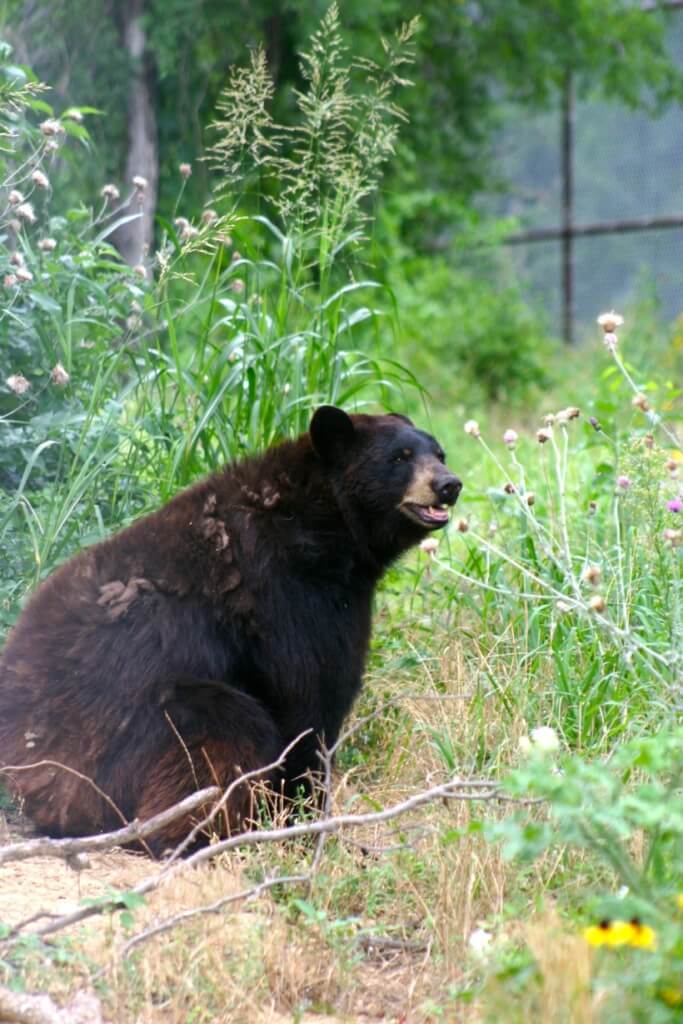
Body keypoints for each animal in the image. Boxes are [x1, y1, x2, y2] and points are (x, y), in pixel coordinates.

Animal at [0, 405, 462, 847]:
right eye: (400, 457)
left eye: (439, 453)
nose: (449, 484)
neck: (322, 521)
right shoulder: (287, 593)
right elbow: (309, 692)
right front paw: (303, 824)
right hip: (129, 734)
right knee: (233, 729)